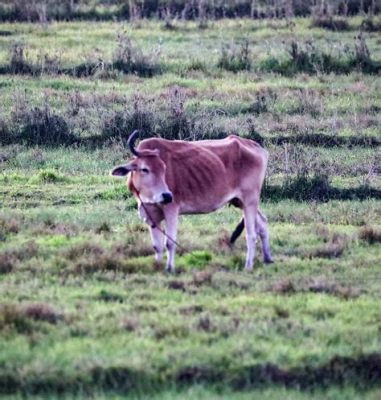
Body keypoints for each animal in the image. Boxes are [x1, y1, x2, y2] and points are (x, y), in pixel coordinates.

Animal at [111, 130, 272, 272]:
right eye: (145, 169)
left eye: (164, 168)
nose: (167, 196)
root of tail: (255, 146)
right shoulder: (151, 216)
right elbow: (157, 246)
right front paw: (157, 266)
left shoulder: (171, 210)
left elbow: (169, 243)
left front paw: (169, 268)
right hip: (240, 202)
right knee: (262, 223)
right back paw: (268, 258)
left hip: (250, 200)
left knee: (251, 235)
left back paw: (248, 266)